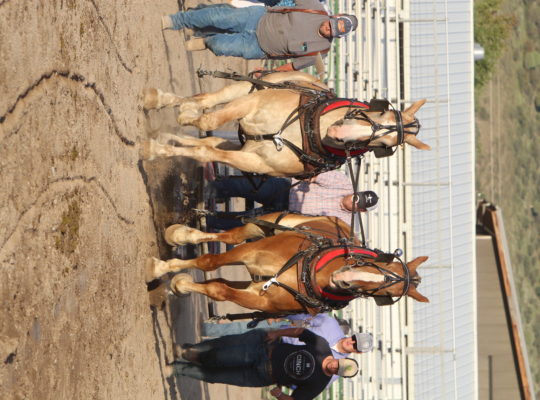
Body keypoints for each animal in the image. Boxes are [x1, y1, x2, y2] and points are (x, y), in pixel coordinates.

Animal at [141, 71, 430, 178]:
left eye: (385, 145)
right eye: (381, 112)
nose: (339, 132)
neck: (310, 130)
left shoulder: (255, 161)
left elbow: (206, 150)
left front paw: (157, 148)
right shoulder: (252, 103)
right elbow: (209, 118)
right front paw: (158, 146)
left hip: (246, 142)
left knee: (212, 140)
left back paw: (174, 137)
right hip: (251, 87)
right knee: (207, 100)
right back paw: (161, 101)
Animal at [146, 212, 430, 314]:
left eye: (388, 293)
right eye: (384, 263)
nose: (344, 279)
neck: (308, 274)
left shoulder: (260, 300)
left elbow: (219, 289)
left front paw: (180, 284)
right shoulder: (251, 251)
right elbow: (208, 261)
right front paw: (158, 268)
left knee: (222, 279)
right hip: (263, 226)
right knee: (232, 236)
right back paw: (178, 235)